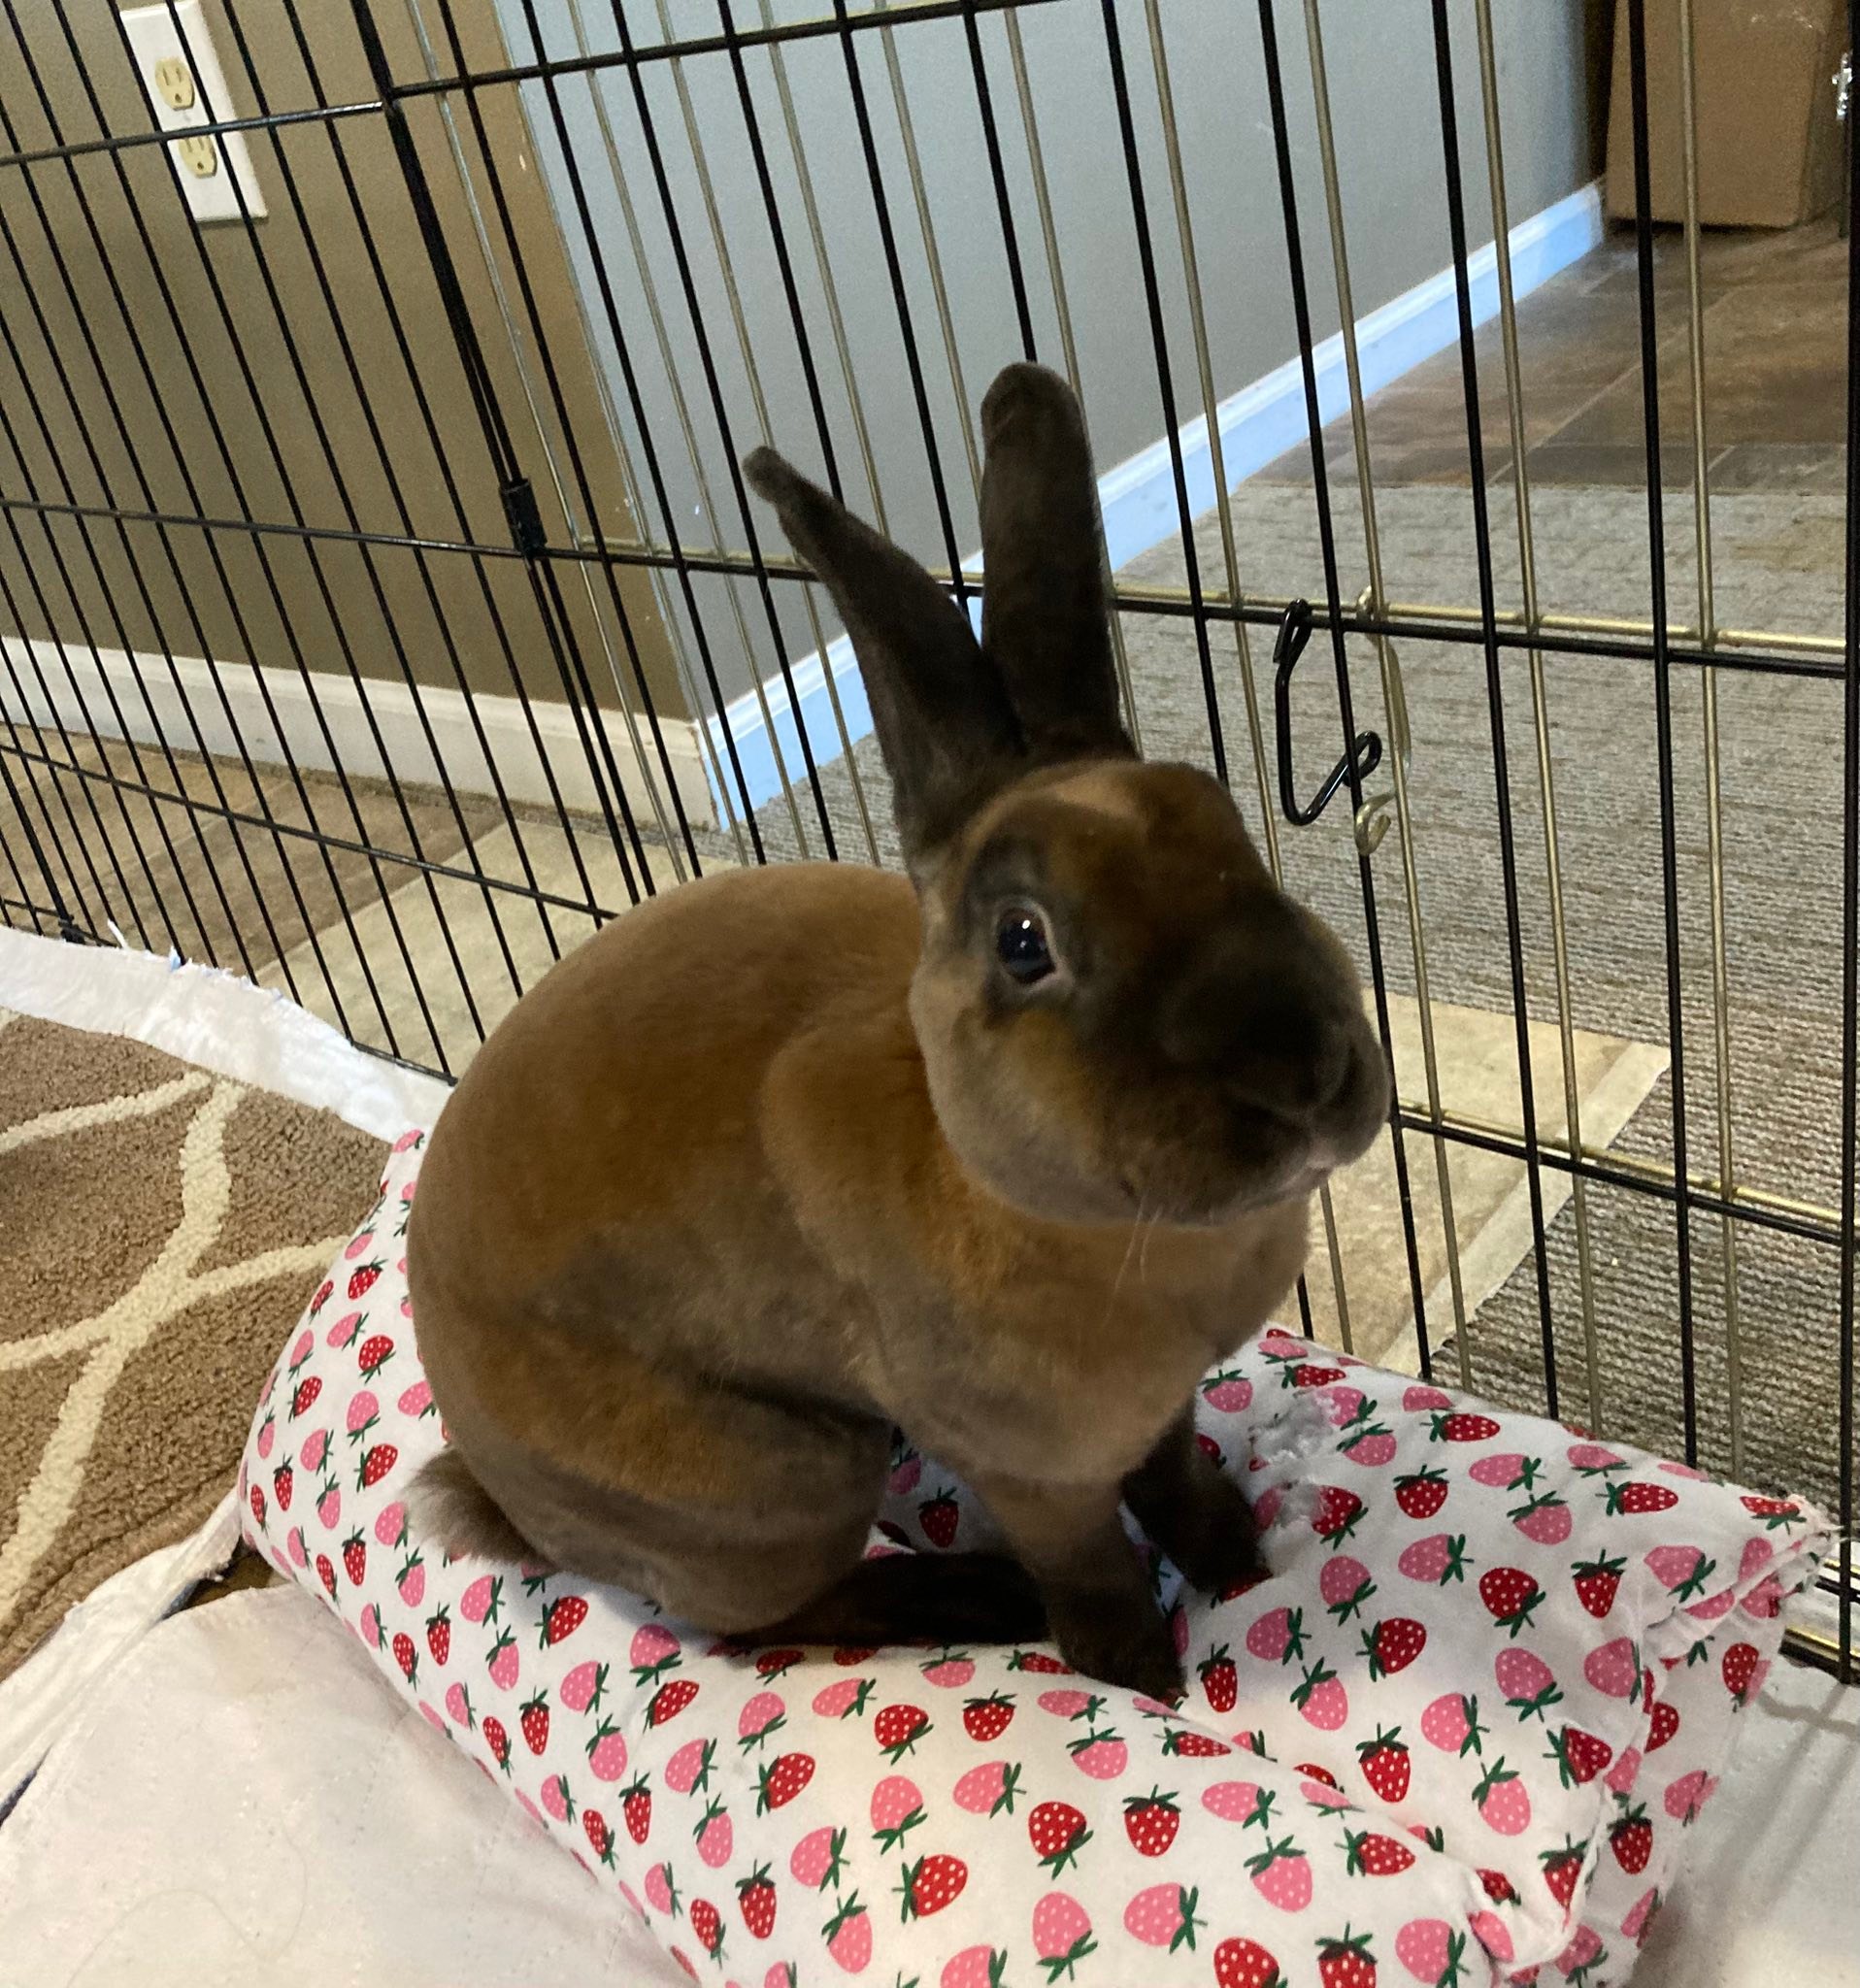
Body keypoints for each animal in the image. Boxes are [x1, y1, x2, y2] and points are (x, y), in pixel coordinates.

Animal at [405, 362, 1388, 1697]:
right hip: (779, 1485)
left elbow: (1174, 1473)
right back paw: (973, 1595)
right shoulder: (1031, 1466)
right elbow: (1090, 1562)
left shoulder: (1159, 1409)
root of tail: (497, 1492)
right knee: (755, 1622)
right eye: (1024, 940)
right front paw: (1138, 1669)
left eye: (1221, 818)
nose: (1309, 1069)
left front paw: (1234, 1554)